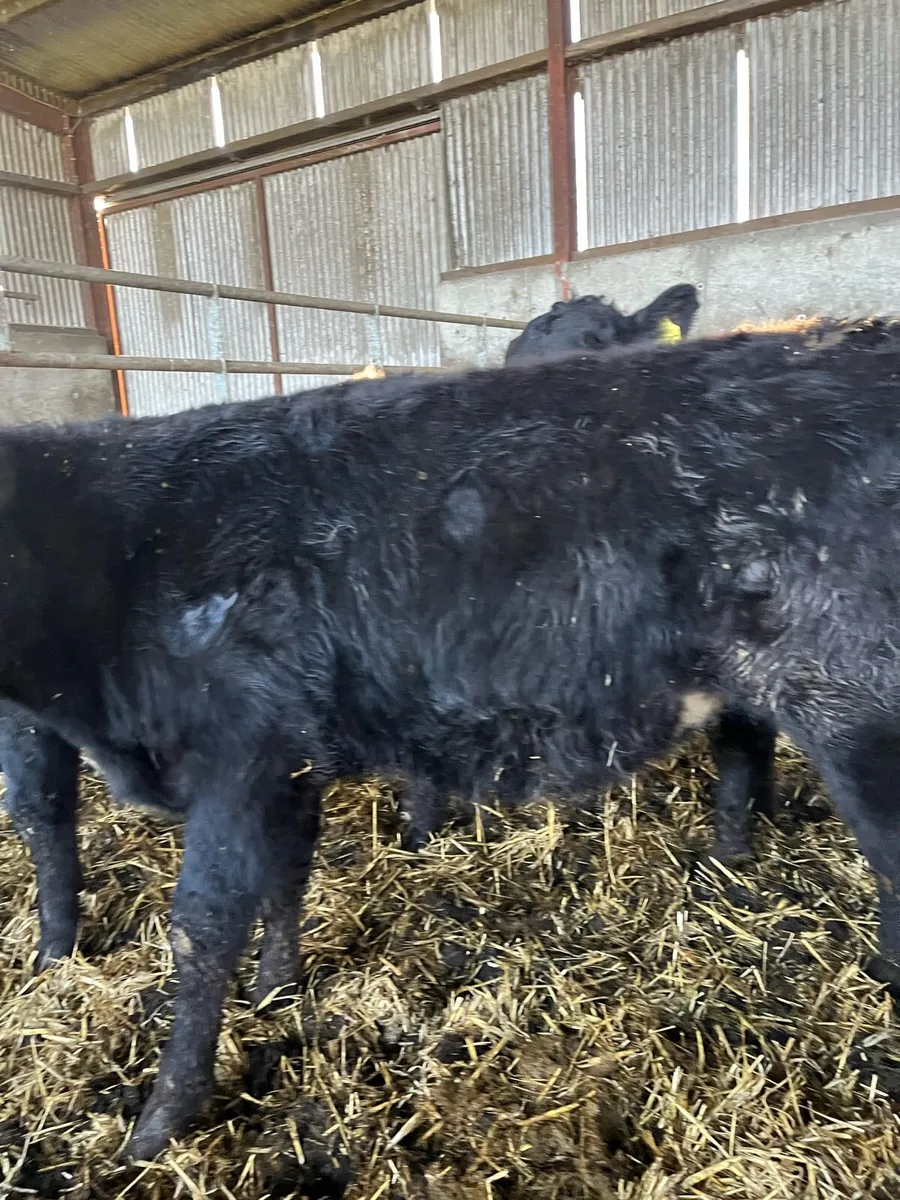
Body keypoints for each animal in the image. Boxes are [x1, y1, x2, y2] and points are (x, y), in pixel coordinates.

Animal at [4, 317, 900, 1161]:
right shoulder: (289, 751)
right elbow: (286, 875)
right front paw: (276, 991)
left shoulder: (238, 746)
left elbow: (202, 926)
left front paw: (161, 1120)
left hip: (859, 703)